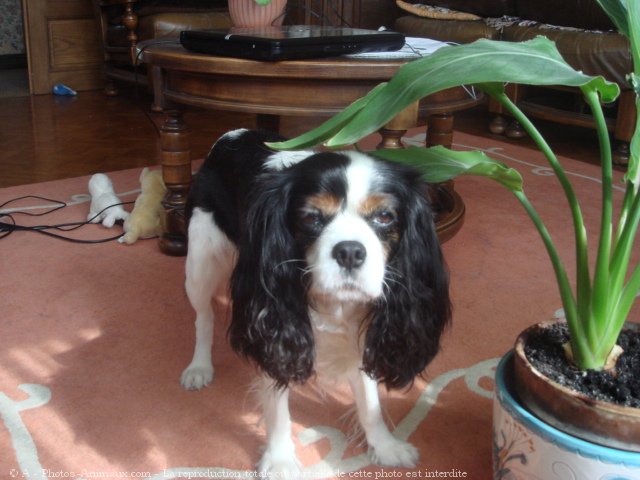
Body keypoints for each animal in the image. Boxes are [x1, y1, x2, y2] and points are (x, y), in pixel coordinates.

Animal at [180, 128, 450, 476]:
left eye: (385, 216)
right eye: (311, 217)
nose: (350, 251)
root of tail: (232, 134)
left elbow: (370, 402)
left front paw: (385, 446)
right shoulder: (274, 325)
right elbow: (277, 404)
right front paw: (280, 460)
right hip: (200, 260)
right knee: (203, 316)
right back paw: (200, 366)